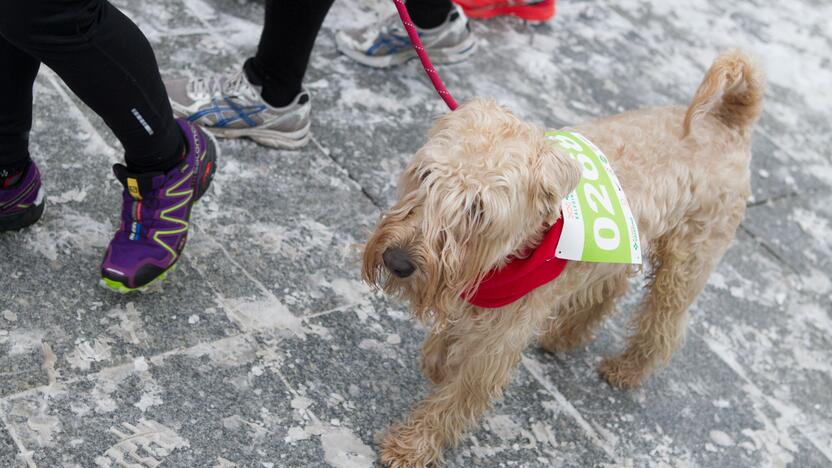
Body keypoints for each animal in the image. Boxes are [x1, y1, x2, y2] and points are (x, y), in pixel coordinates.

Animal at [362, 49, 760, 466]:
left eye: (478, 209)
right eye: (425, 176)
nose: (397, 261)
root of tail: (728, 123)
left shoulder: (497, 342)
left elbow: (454, 400)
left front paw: (410, 446)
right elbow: (442, 349)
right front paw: (437, 363)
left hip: (685, 267)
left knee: (664, 323)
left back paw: (626, 369)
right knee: (611, 289)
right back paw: (565, 336)